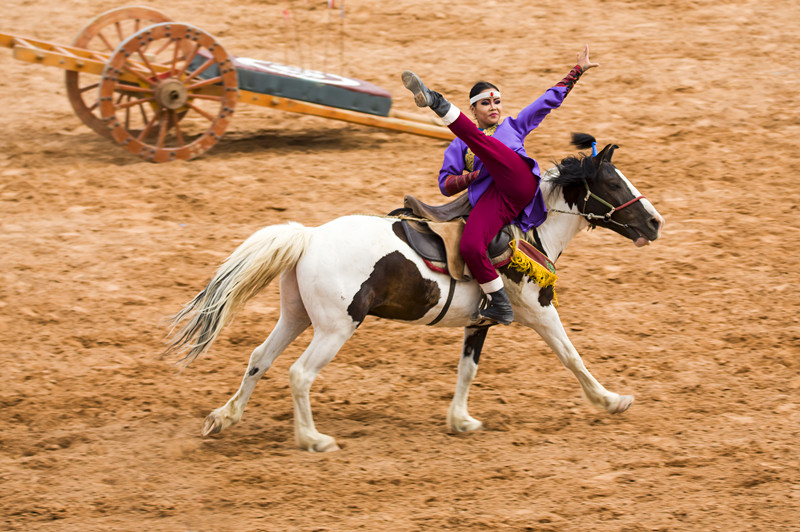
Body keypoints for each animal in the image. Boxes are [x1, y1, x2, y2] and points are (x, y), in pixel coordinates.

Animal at [167, 135, 664, 450]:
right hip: (334, 329)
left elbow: (467, 370)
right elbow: (572, 356)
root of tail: (308, 237)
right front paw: (610, 400)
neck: (527, 231)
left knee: (259, 359)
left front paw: (460, 420)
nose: (656, 222)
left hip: (296, 316)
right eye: (613, 183)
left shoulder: (481, 322)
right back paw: (313, 439)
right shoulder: (541, 313)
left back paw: (224, 417)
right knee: (299, 374)